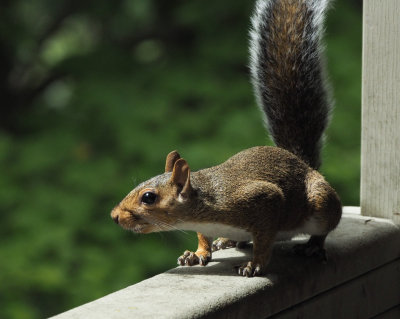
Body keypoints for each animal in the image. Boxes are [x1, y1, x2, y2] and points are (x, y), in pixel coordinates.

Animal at [111, 0, 342, 278]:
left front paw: (254, 264)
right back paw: (228, 240)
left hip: (320, 203)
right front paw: (196, 254)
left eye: (148, 197)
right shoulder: (206, 225)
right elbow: (203, 238)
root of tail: (303, 163)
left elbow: (264, 241)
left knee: (325, 227)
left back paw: (313, 246)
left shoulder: (263, 201)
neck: (203, 206)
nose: (114, 215)